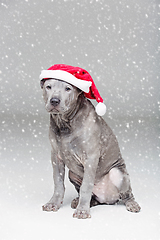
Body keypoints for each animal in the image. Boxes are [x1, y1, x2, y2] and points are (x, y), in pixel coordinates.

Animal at [40, 72, 141, 218]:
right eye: (48, 87)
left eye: (68, 88)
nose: (54, 101)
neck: (65, 123)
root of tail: (107, 199)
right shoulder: (56, 157)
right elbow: (58, 182)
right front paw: (53, 203)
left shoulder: (90, 157)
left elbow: (86, 186)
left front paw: (82, 210)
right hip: (73, 174)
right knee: (93, 197)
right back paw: (81, 201)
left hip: (118, 173)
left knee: (127, 194)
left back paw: (132, 204)